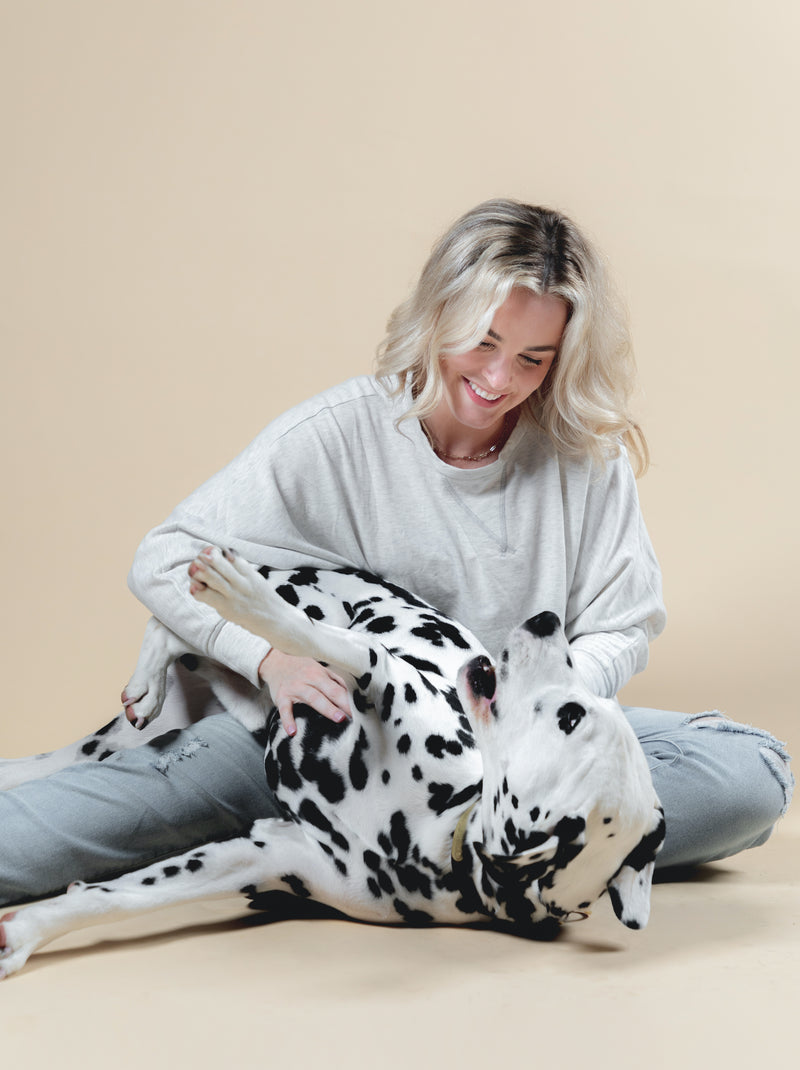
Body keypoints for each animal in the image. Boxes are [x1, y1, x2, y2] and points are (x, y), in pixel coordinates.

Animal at [0, 552, 667, 980]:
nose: (547, 621)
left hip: (207, 714)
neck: (432, 835)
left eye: (572, 717)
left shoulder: (257, 856)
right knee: (185, 620)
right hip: (327, 613)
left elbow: (116, 899)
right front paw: (243, 596)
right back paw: (175, 649)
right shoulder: (382, 671)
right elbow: (328, 643)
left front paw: (24, 932)